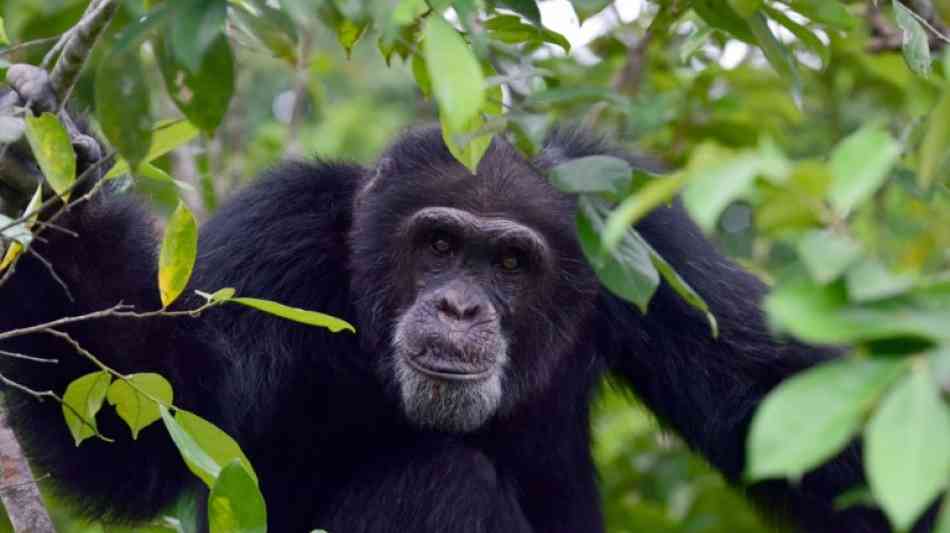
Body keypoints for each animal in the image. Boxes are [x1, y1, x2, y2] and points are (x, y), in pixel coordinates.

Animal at [0, 65, 908, 532]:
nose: (462, 308)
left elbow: (773, 396)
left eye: (508, 260)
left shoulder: (649, 243)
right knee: (438, 474)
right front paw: (46, 178)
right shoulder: (274, 233)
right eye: (438, 245)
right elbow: (155, 416)